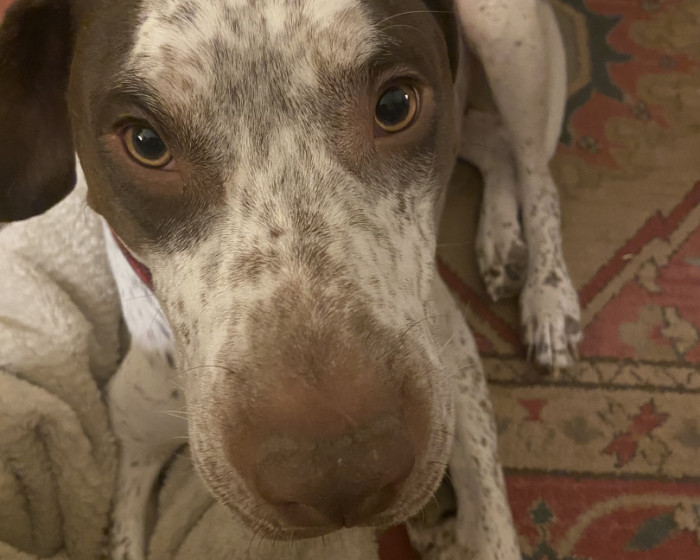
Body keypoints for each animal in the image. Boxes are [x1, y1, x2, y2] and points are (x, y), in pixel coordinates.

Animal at [0, 0, 580, 558]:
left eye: (395, 106)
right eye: (145, 142)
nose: (342, 475)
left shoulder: (457, 368)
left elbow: (494, 531)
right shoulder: (134, 452)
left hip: (508, 39)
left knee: (534, 170)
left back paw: (549, 299)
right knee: (488, 137)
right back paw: (500, 240)